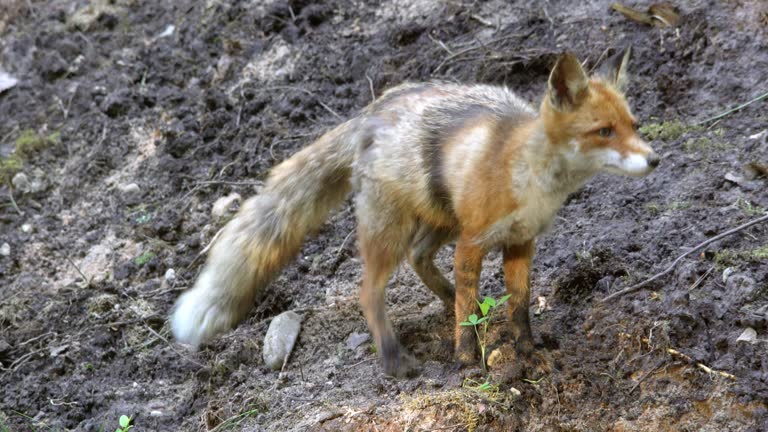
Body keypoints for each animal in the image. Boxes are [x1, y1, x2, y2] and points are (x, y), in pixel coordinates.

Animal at [171, 47, 656, 376]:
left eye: (634, 126)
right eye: (603, 131)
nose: (654, 160)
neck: (531, 180)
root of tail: (369, 112)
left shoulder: (521, 243)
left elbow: (518, 310)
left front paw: (529, 354)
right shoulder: (473, 240)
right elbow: (467, 315)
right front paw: (466, 360)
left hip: (438, 220)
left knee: (421, 259)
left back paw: (449, 302)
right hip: (395, 231)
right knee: (370, 291)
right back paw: (393, 358)